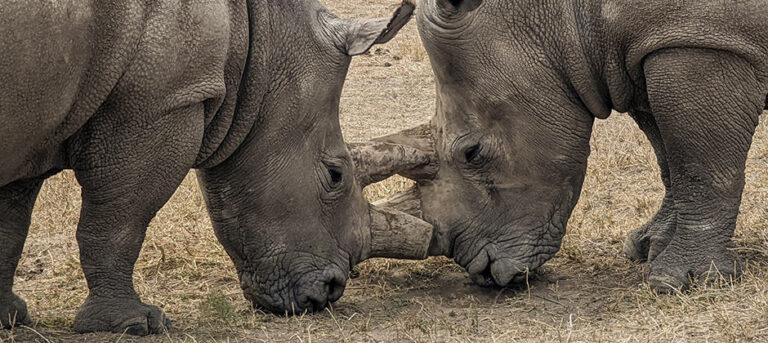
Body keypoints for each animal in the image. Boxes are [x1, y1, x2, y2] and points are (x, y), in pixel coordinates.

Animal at [0, 0, 432, 336]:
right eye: (335, 175)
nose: (330, 291)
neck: (264, 45)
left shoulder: (36, 121)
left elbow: (12, 224)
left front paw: (10, 317)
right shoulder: (160, 104)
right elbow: (119, 221)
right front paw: (135, 324)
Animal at [352, 0, 764, 292]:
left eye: (473, 153)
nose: (484, 272)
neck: (562, 13)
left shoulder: (699, 41)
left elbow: (700, 166)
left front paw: (681, 281)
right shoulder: (642, 51)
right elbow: (667, 157)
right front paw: (647, 246)